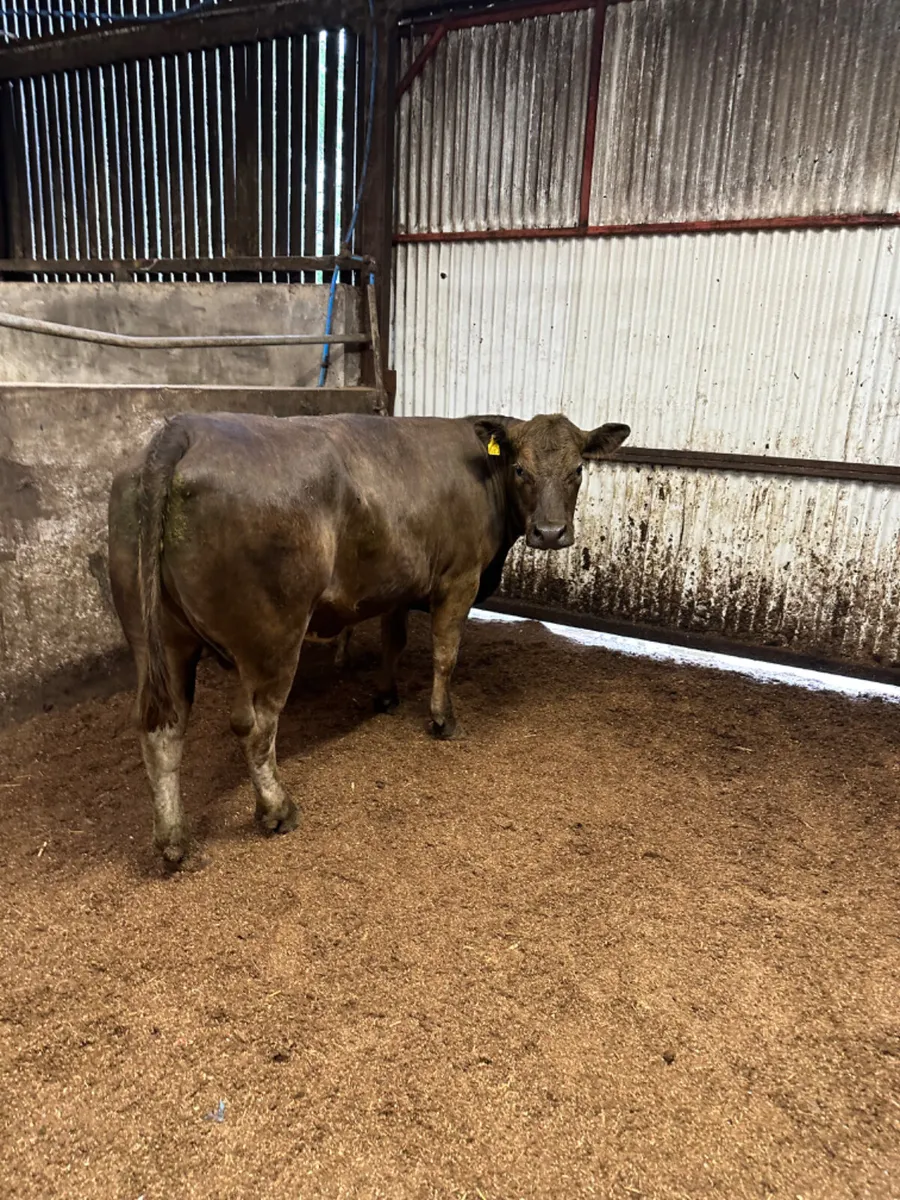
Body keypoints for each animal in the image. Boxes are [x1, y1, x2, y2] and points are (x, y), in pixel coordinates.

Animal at [107, 411, 630, 866]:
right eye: (520, 468)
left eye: (578, 470)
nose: (550, 532)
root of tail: (184, 428)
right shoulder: (459, 580)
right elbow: (445, 653)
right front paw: (443, 719)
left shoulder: (398, 585)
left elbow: (392, 641)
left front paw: (385, 696)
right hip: (272, 638)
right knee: (255, 726)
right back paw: (277, 809)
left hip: (159, 641)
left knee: (162, 729)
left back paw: (173, 840)